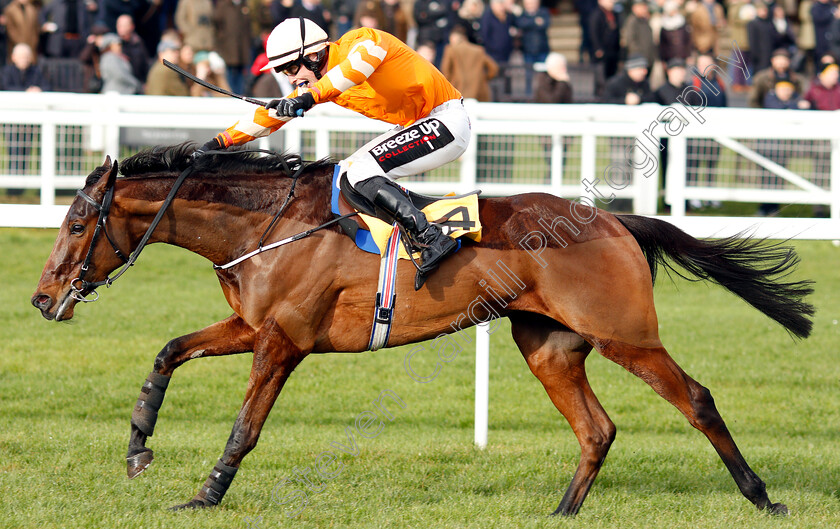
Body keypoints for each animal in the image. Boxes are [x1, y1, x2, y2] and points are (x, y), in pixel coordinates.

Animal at [31, 144, 812, 516]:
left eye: (76, 223)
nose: (42, 299)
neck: (267, 225)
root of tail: (617, 221)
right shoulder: (252, 324)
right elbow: (168, 351)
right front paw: (138, 446)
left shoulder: (283, 340)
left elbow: (245, 427)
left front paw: (205, 495)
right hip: (548, 344)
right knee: (597, 429)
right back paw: (561, 511)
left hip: (627, 336)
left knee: (697, 399)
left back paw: (762, 496)